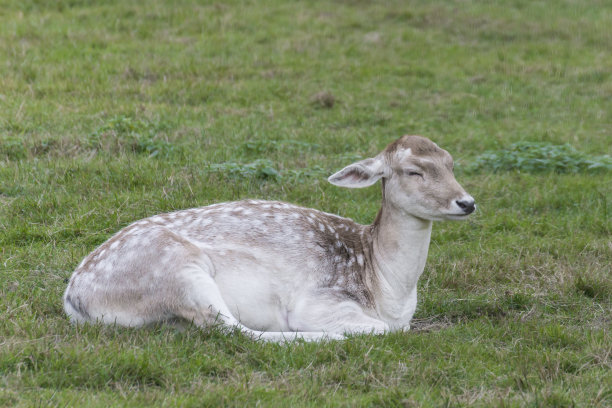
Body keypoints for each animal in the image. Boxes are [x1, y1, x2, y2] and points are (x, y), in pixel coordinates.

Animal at [63, 135, 474, 342]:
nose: (467, 202)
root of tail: (73, 297)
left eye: (451, 163)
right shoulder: (318, 301)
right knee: (232, 329)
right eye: (413, 171)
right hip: (176, 269)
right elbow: (384, 330)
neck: (388, 288)